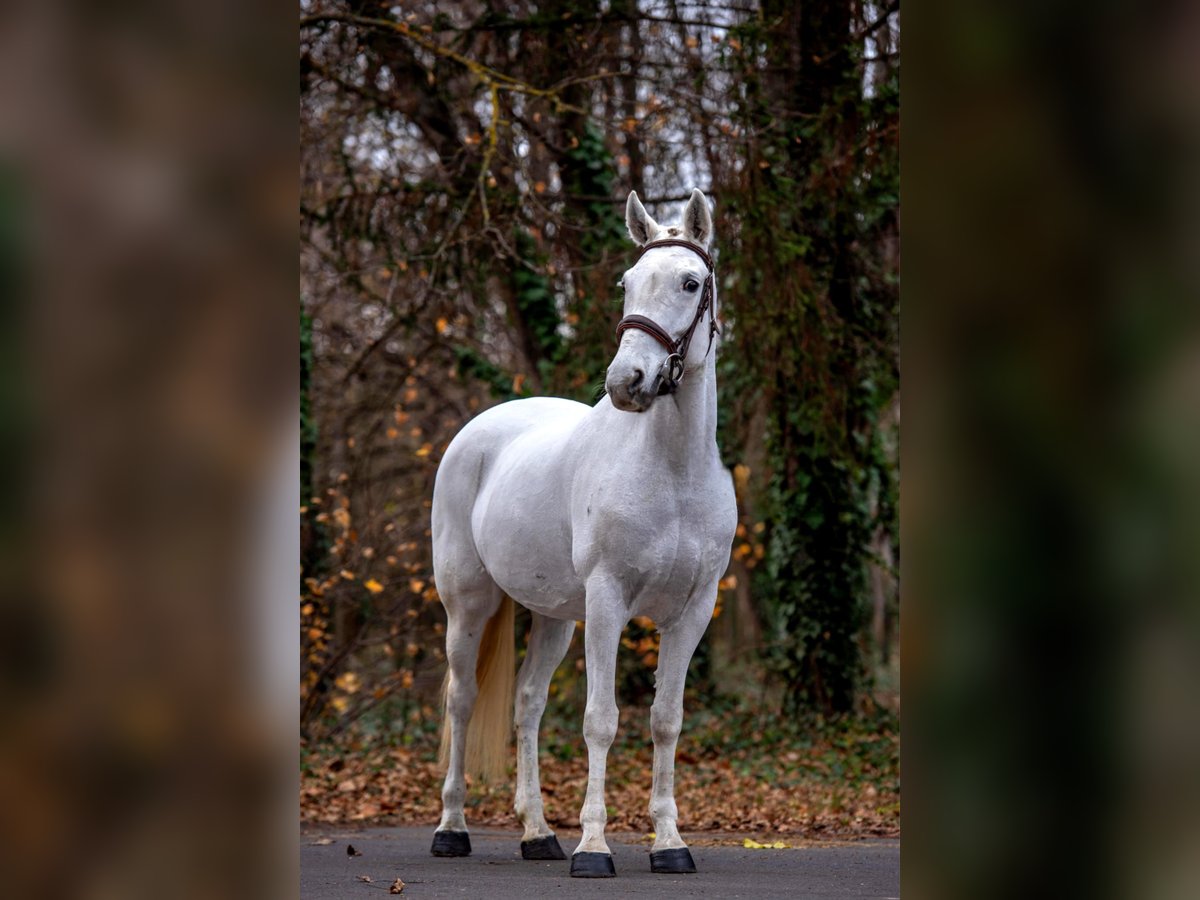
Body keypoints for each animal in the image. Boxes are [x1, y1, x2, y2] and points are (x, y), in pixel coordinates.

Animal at [429, 188, 737, 878]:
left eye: (690, 282)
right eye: (627, 283)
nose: (628, 383)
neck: (673, 471)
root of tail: (479, 430)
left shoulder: (693, 611)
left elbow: (666, 720)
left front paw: (669, 844)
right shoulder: (607, 602)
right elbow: (601, 720)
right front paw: (594, 848)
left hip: (552, 620)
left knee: (527, 704)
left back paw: (538, 834)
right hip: (469, 605)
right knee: (462, 700)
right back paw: (452, 829)